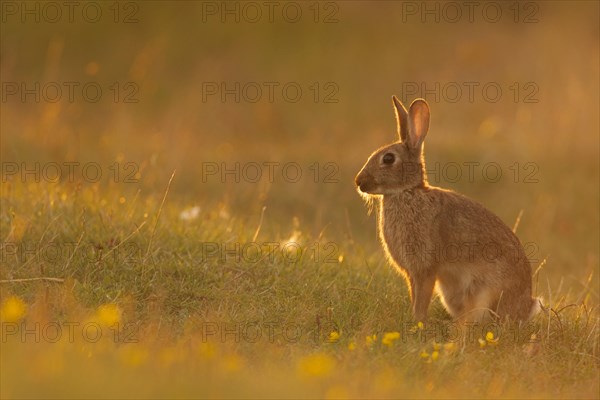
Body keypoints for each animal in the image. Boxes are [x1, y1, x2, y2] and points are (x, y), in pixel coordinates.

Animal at [354, 96, 540, 322]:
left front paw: (417, 321)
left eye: (388, 158)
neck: (407, 192)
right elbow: (414, 294)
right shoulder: (413, 273)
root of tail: (525, 310)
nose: (358, 181)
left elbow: (421, 297)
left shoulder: (425, 268)